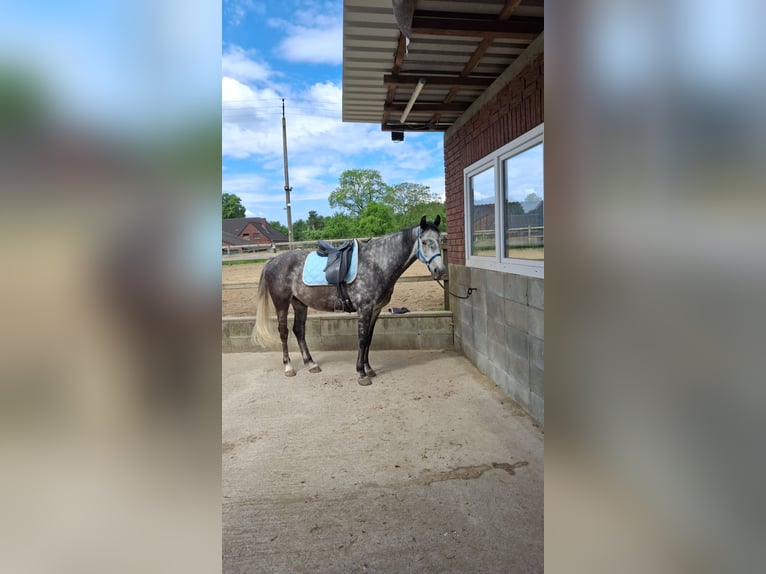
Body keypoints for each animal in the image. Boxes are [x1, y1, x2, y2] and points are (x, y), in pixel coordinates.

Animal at [254, 216, 444, 388]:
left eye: (441, 240)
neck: (377, 263)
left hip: (299, 303)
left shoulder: (375, 310)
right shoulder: (364, 309)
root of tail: (272, 260)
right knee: (284, 332)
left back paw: (311, 364)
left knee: (299, 330)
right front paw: (361, 374)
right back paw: (288, 367)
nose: (439, 270)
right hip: (281, 303)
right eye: (424, 242)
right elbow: (362, 339)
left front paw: (369, 368)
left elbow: (369, 339)